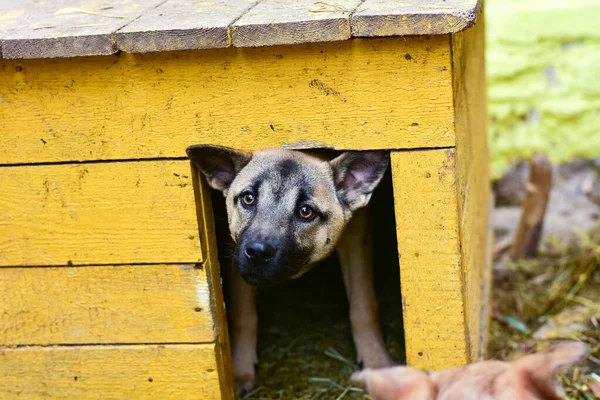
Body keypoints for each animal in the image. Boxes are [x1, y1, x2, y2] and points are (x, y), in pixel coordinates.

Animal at [188, 145, 394, 396]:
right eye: (248, 198)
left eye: (305, 211)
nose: (257, 252)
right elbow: (243, 314)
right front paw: (240, 371)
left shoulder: (357, 235)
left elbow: (363, 307)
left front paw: (377, 365)